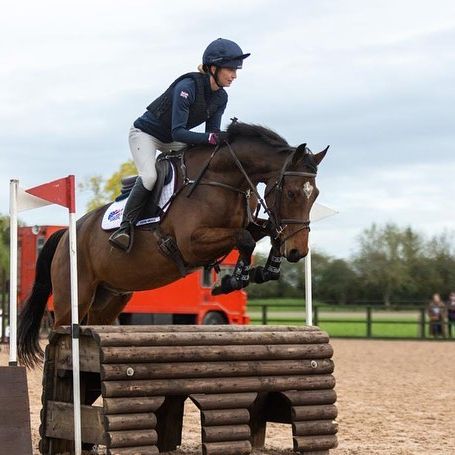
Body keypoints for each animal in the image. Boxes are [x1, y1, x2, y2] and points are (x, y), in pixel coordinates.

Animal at [16, 122, 328, 366]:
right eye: (291, 193)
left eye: (314, 195)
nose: (298, 251)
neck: (224, 179)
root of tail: (65, 235)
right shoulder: (191, 243)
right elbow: (245, 239)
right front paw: (233, 280)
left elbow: (265, 233)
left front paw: (266, 270)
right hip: (73, 297)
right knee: (60, 333)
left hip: (110, 298)